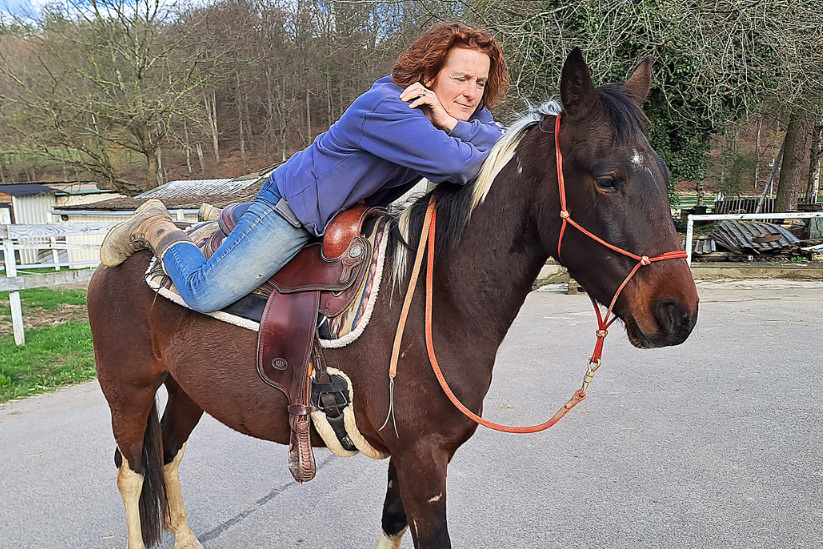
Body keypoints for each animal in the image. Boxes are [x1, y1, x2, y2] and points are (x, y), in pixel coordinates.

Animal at [88, 48, 699, 549]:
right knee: (131, 471)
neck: (438, 296)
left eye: (663, 174)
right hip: (129, 391)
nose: (677, 313)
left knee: (167, 455)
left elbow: (391, 524)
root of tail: (111, 266)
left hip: (186, 389)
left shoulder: (411, 460)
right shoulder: (423, 460)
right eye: (607, 179)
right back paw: (140, 224)